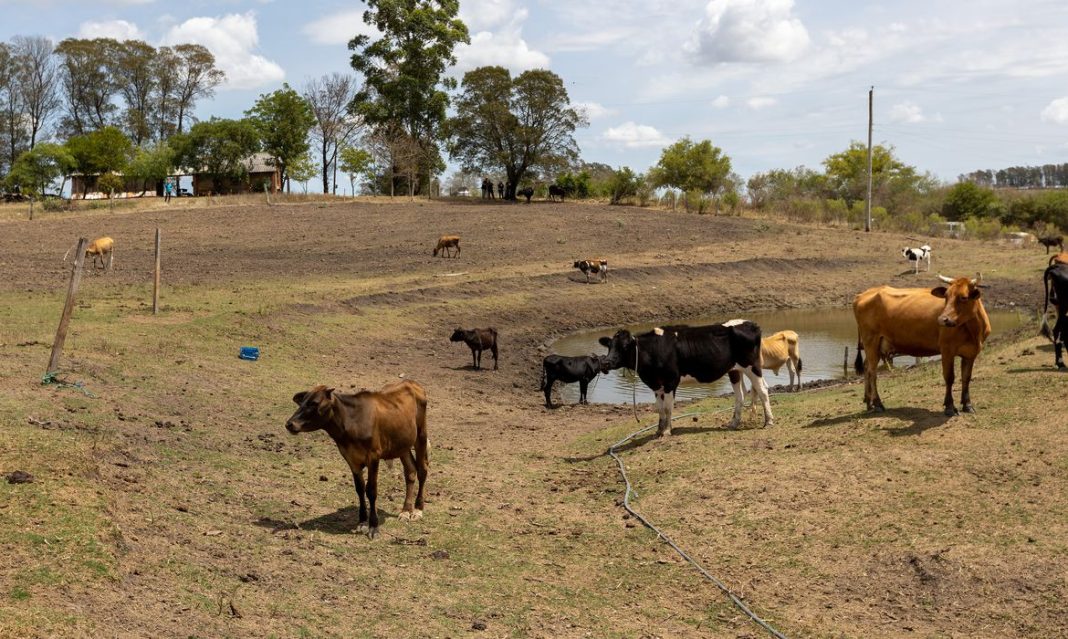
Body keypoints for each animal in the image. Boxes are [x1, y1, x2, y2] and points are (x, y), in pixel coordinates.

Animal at [288, 380, 433, 540]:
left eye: (314, 403)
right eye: (302, 402)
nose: (290, 424)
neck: (351, 422)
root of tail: (411, 383)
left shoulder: (374, 456)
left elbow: (371, 490)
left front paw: (373, 526)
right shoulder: (351, 458)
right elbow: (359, 488)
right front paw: (362, 522)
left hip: (421, 434)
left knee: (422, 470)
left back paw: (418, 510)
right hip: (402, 443)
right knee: (410, 471)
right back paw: (406, 511)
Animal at [598, 318, 773, 435]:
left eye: (625, 346)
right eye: (609, 346)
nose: (606, 363)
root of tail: (750, 323)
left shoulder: (670, 381)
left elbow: (668, 408)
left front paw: (667, 431)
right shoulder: (656, 384)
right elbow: (659, 408)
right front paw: (659, 430)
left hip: (752, 366)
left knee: (763, 390)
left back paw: (769, 421)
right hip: (735, 370)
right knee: (740, 395)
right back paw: (734, 423)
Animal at [850, 273, 991, 416]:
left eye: (963, 297)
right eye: (946, 296)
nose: (942, 319)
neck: (973, 331)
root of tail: (862, 294)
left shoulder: (971, 352)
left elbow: (966, 378)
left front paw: (967, 405)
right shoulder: (947, 350)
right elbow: (949, 377)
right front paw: (950, 407)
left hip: (875, 346)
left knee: (866, 367)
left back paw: (869, 403)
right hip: (871, 341)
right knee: (872, 371)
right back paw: (878, 404)